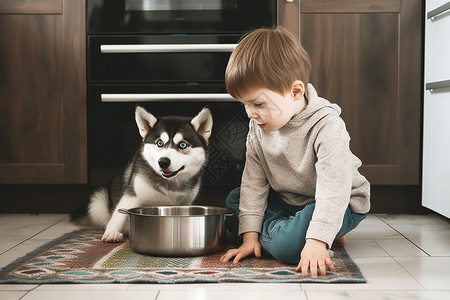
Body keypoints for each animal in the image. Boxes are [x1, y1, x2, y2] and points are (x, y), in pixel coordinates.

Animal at [73, 105, 214, 241]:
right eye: (159, 143)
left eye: (182, 145)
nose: (163, 162)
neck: (170, 183)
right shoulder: (132, 196)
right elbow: (119, 215)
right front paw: (112, 232)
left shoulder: (186, 203)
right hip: (97, 202)